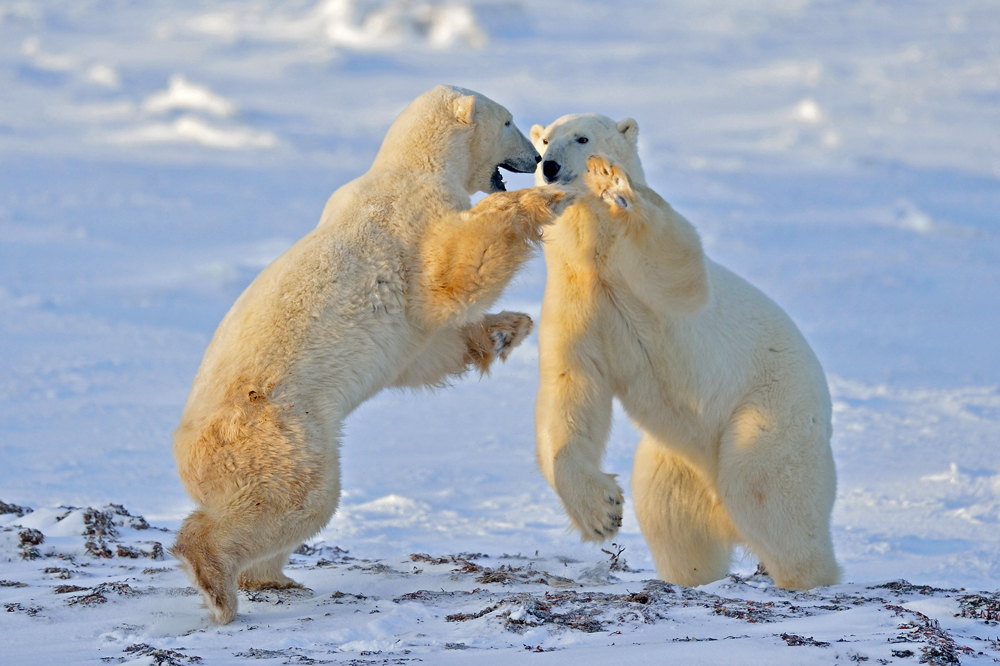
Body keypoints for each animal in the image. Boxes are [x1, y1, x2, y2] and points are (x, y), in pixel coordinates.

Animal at [172, 84, 572, 624]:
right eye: (509, 122)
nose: (537, 160)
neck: (415, 165)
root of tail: (187, 448)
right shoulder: (412, 222)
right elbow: (453, 275)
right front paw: (547, 200)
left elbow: (423, 352)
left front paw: (511, 328)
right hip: (276, 430)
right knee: (297, 498)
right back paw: (215, 579)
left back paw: (274, 577)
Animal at [528, 113, 840, 588]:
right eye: (544, 141)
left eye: (581, 138)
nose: (549, 166)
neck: (597, 258)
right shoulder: (576, 298)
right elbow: (571, 388)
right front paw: (602, 512)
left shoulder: (646, 281)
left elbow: (678, 265)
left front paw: (616, 186)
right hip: (672, 463)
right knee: (675, 524)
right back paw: (690, 573)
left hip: (770, 411)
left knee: (768, 494)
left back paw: (808, 575)